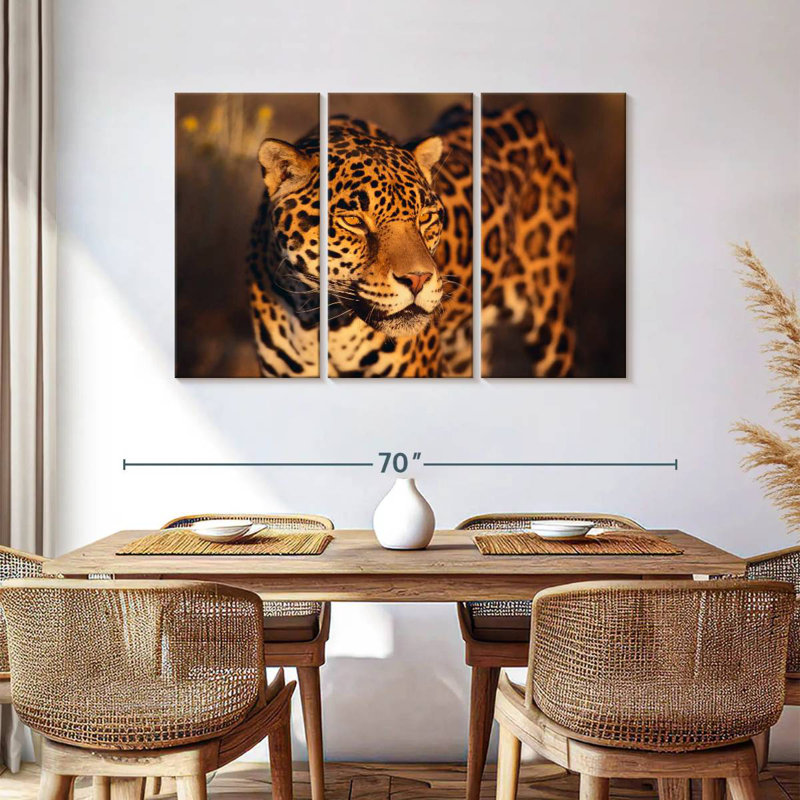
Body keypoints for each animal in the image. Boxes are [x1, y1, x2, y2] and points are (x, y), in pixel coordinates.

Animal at [247, 103, 576, 378]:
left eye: (426, 217)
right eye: (354, 221)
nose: (418, 280)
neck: (322, 322)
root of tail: (524, 109)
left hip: (551, 321)